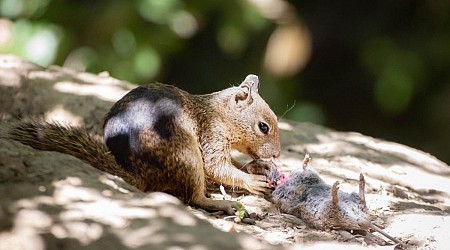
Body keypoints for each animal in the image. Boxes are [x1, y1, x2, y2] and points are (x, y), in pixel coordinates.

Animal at [8, 74, 280, 215]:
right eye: (263, 127)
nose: (277, 154)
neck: (218, 113)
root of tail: (140, 174)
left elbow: (229, 165)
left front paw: (258, 167)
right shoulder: (211, 135)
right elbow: (217, 167)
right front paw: (252, 180)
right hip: (187, 155)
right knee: (193, 197)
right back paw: (221, 203)